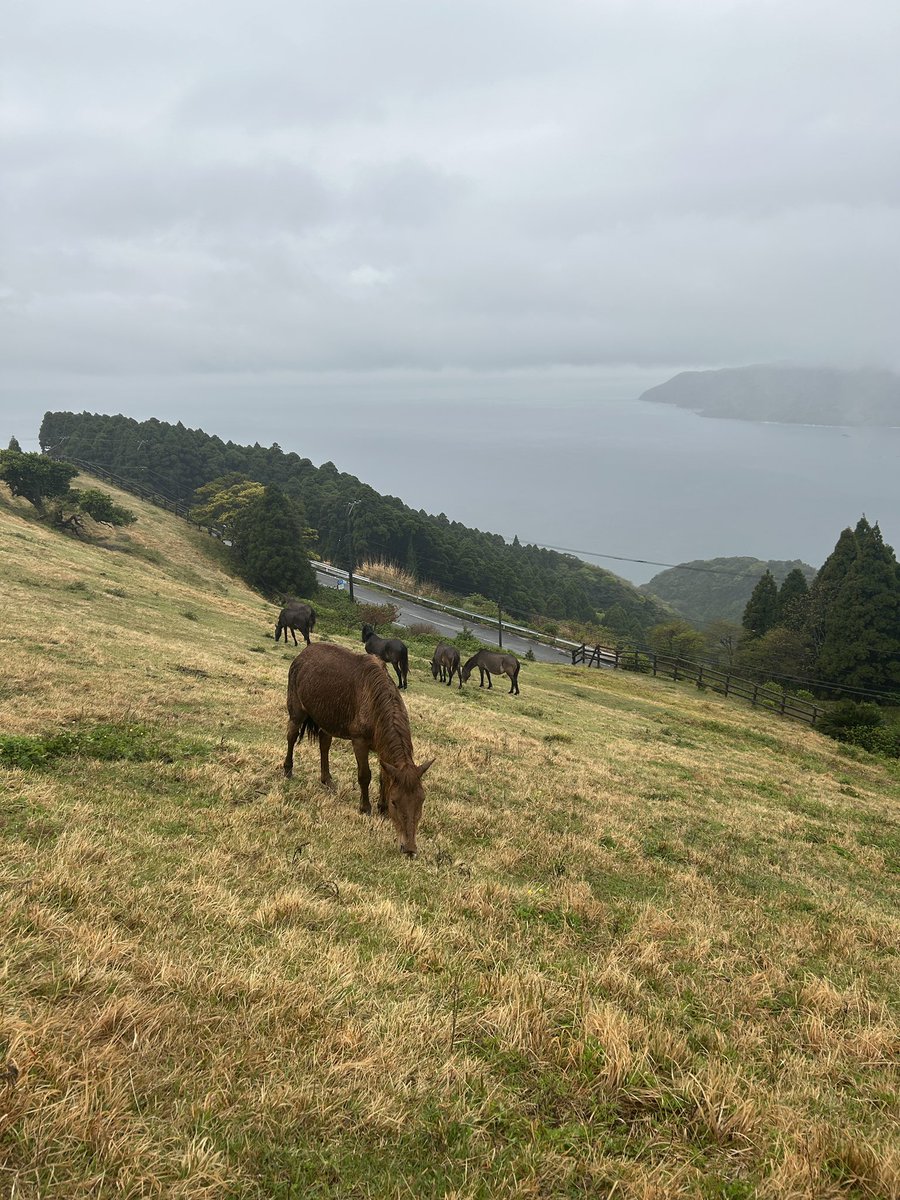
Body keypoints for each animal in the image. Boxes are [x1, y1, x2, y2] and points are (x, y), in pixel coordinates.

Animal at [283, 644, 434, 856]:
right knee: (291, 735)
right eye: (395, 802)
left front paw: (381, 808)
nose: (409, 848)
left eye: (421, 801)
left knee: (324, 744)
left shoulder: (382, 748)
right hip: (297, 709)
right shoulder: (360, 742)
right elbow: (365, 776)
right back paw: (288, 769)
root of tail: (303, 654)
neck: (374, 701)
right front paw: (366, 807)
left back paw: (327, 780)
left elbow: (383, 777)